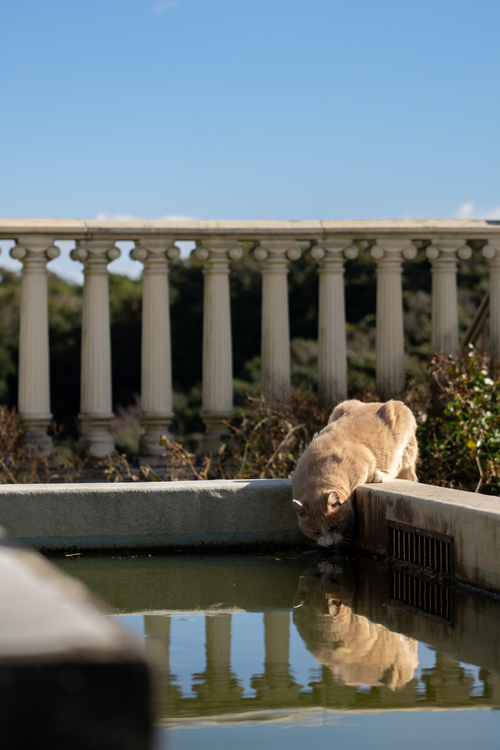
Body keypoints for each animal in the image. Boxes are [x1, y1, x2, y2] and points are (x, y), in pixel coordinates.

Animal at [292, 396, 418, 548]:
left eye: (335, 527)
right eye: (316, 532)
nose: (330, 544)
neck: (315, 474)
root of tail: (381, 402)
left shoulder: (366, 461)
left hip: (398, 428)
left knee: (395, 467)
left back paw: (379, 475)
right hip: (342, 406)